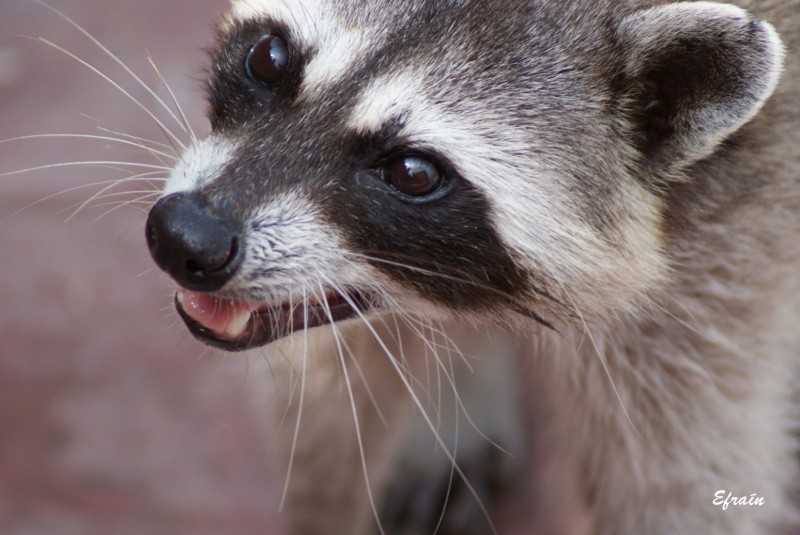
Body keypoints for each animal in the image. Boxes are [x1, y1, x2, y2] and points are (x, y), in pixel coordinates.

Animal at [144, 1, 800, 535]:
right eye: (269, 57)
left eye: (413, 172)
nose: (184, 236)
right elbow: (330, 412)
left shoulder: (729, 242)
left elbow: (681, 484)